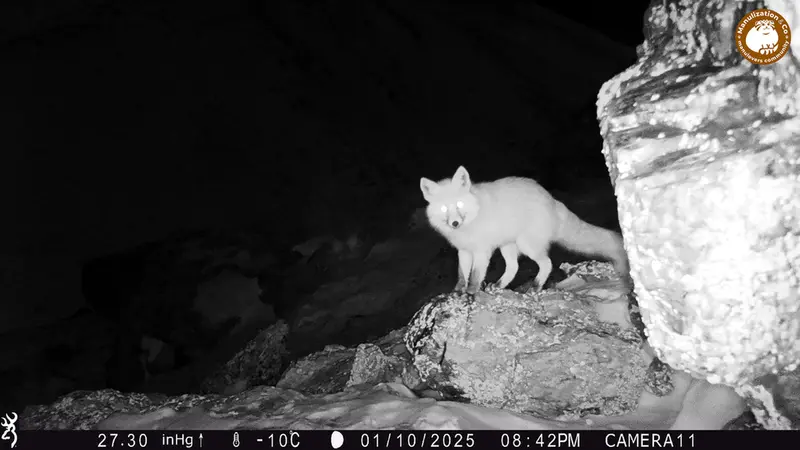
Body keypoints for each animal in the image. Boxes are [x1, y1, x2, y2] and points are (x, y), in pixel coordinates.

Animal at [420, 166, 631, 295]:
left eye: (460, 204)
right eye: (444, 209)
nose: (454, 223)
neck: (472, 220)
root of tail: (552, 200)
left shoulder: (482, 251)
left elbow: (475, 276)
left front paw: (471, 292)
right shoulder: (464, 251)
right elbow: (462, 274)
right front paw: (458, 291)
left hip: (527, 245)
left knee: (546, 263)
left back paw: (535, 287)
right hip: (507, 247)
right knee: (514, 267)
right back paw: (499, 286)